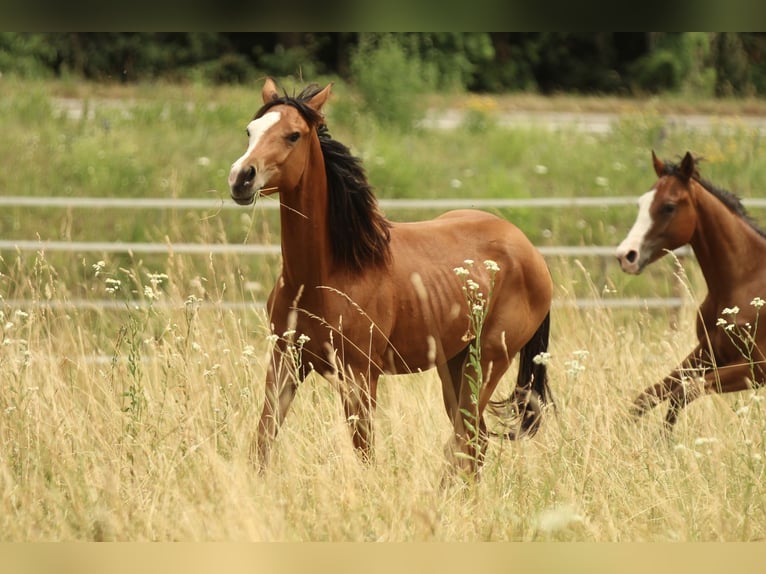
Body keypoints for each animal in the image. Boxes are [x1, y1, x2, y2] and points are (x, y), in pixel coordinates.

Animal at [228, 78, 553, 475]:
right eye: (250, 130)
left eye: (293, 135)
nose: (241, 177)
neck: (327, 274)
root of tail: (530, 251)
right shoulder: (285, 362)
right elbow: (262, 442)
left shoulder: (360, 377)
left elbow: (366, 455)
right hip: (454, 365)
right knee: (473, 443)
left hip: (487, 363)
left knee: (465, 441)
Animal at [616, 151, 766, 430]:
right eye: (641, 204)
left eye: (669, 206)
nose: (626, 256)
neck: (746, 280)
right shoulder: (707, 352)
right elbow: (648, 396)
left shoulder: (758, 367)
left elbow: (682, 394)